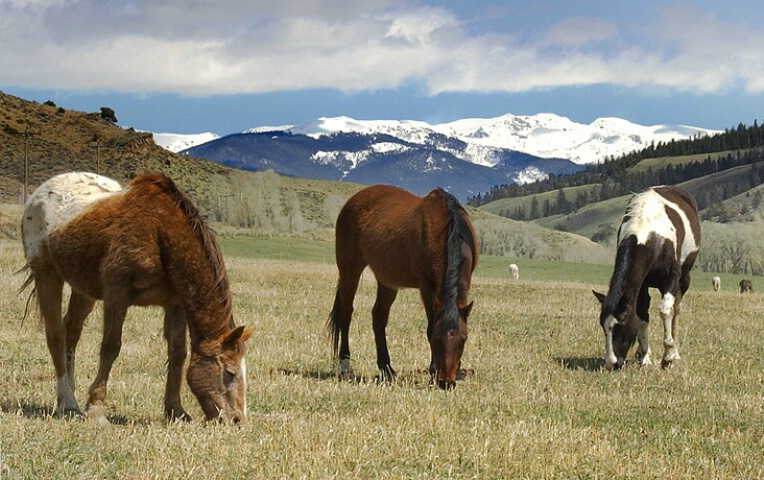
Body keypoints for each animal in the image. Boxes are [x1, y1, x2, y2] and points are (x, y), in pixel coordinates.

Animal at [20, 172, 254, 424]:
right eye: (229, 372)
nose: (237, 420)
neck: (160, 232)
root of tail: (37, 195)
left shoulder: (175, 304)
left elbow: (178, 353)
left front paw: (176, 410)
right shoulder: (116, 295)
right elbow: (110, 347)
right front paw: (97, 408)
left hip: (83, 290)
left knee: (71, 333)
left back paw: (69, 397)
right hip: (47, 275)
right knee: (56, 336)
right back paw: (68, 402)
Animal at [328, 184, 478, 390]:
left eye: (463, 339)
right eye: (436, 337)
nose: (446, 382)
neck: (446, 228)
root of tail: (352, 201)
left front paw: (459, 371)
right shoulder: (426, 287)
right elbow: (429, 325)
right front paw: (433, 371)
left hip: (387, 280)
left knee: (378, 317)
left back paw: (387, 369)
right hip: (349, 269)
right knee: (346, 312)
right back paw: (346, 365)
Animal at [592, 186, 700, 370]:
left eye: (621, 325)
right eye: (603, 326)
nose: (610, 364)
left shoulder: (671, 279)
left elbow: (666, 311)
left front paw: (668, 357)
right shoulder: (641, 285)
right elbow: (642, 314)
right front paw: (645, 357)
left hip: (684, 278)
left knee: (676, 311)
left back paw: (675, 352)